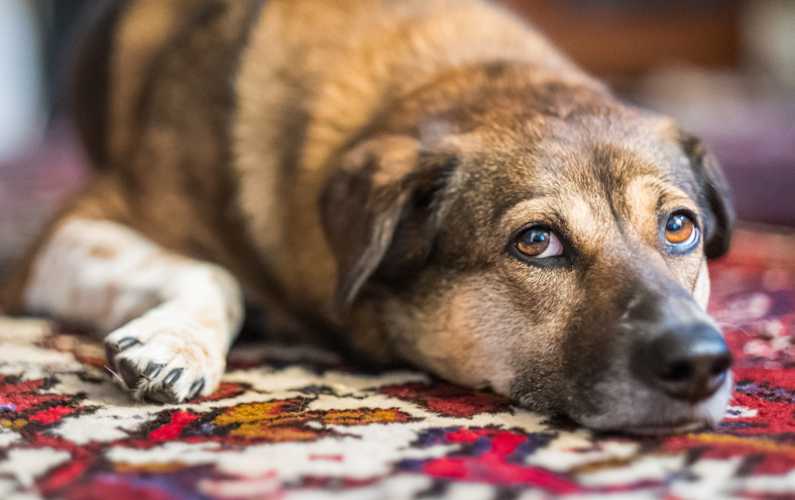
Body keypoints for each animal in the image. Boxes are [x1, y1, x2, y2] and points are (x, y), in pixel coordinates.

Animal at [0, 0, 736, 434]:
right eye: (535, 242)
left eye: (679, 228)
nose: (701, 363)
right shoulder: (65, 234)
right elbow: (215, 273)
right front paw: (174, 345)